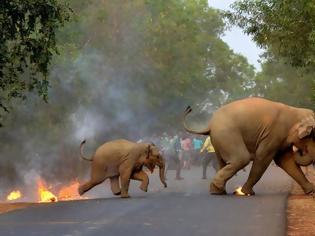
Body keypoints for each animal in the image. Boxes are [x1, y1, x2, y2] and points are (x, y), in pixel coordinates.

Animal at [184, 97, 315, 195]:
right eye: (312, 136)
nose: (299, 151)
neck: (295, 111)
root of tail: (210, 124)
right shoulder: (273, 134)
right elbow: (262, 158)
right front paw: (246, 192)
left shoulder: (280, 139)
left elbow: (286, 161)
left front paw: (311, 191)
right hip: (227, 134)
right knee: (240, 159)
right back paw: (220, 190)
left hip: (218, 140)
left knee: (223, 162)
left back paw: (218, 191)